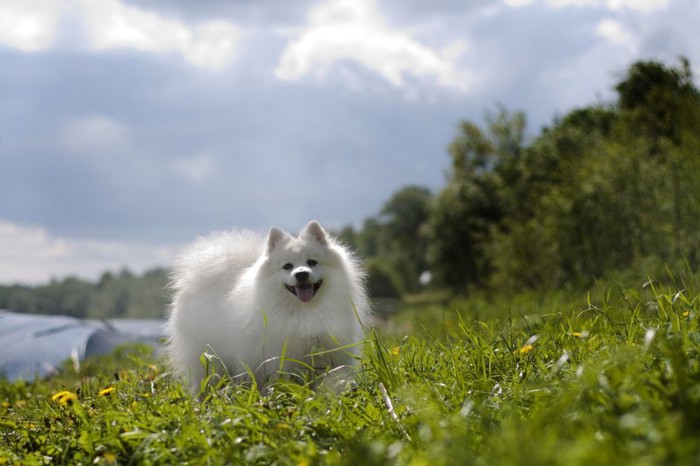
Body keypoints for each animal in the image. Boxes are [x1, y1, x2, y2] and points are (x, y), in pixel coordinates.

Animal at [166, 220, 370, 392]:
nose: (301, 274)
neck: (304, 311)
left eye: (312, 262)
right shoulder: (279, 359)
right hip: (207, 360)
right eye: (287, 266)